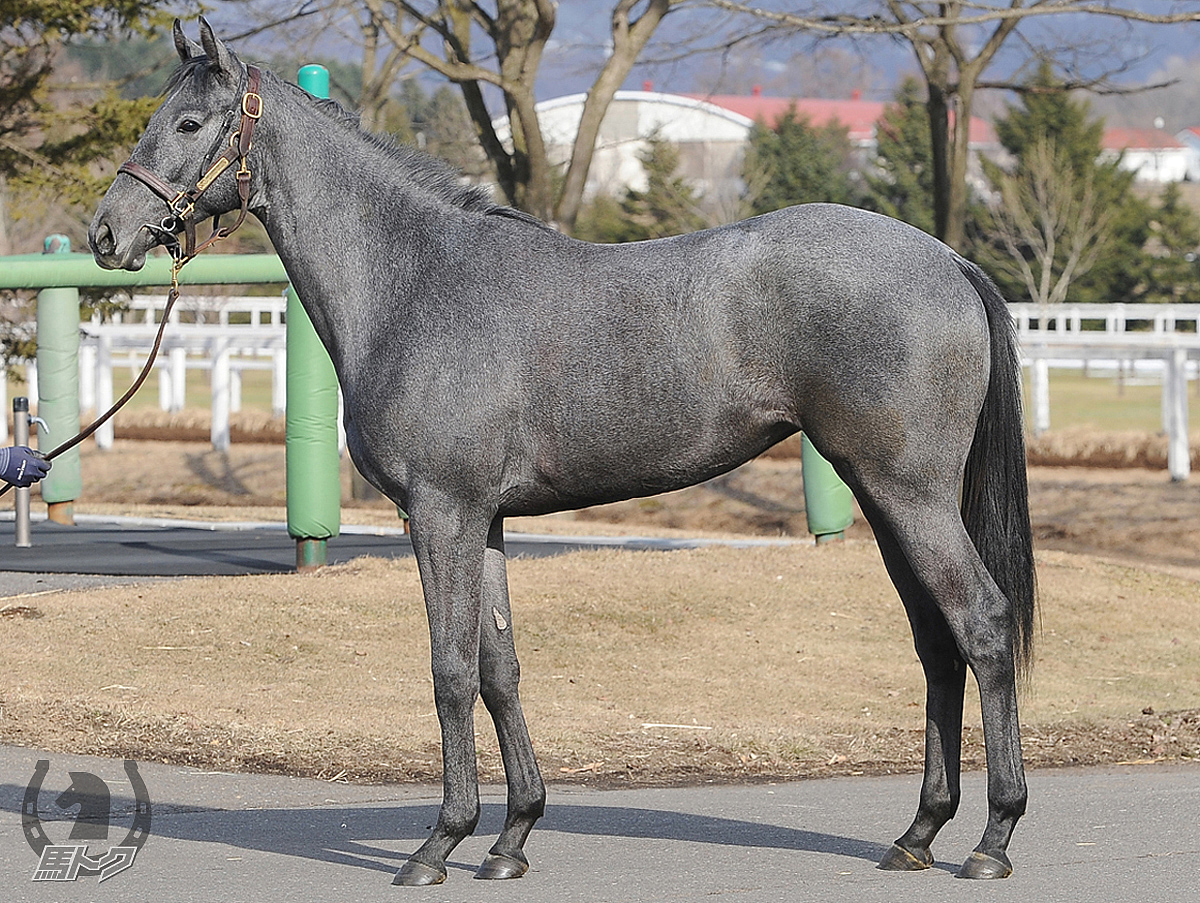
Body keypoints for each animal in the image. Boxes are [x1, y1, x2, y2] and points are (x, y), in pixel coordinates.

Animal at [88, 19, 1036, 888]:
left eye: (189, 123)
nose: (107, 233)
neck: (415, 280)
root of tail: (949, 259)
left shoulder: (440, 513)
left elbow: (449, 670)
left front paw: (440, 843)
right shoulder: (486, 521)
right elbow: (500, 669)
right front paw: (510, 838)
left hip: (909, 494)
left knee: (984, 627)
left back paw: (993, 838)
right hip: (884, 496)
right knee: (936, 642)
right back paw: (919, 831)